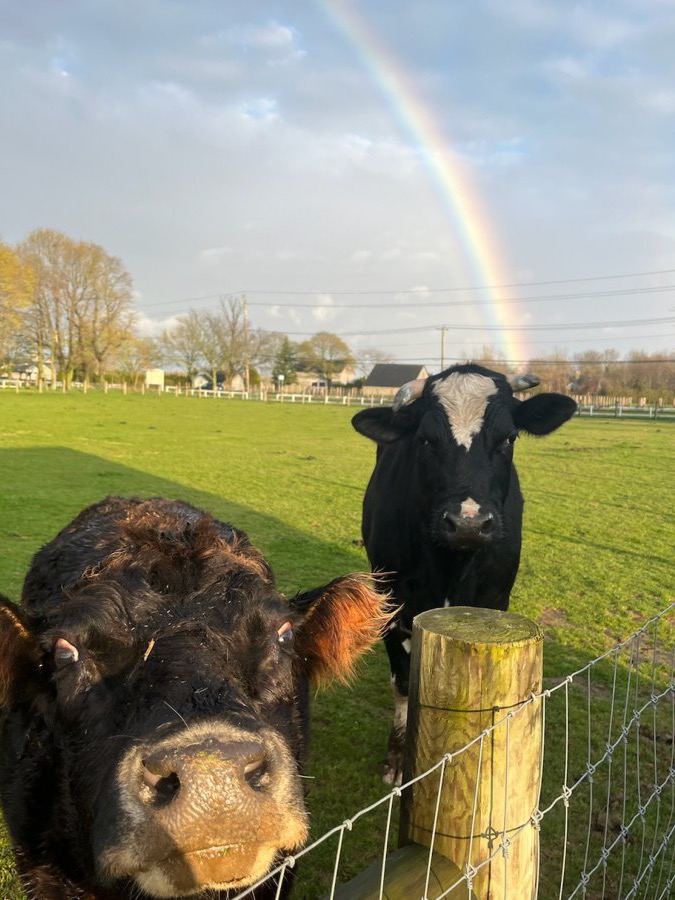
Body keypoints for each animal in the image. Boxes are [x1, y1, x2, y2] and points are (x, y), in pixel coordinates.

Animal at [351, 364, 577, 784]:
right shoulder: (391, 602)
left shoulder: (494, 602)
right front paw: (398, 758)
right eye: (425, 439)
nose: (468, 523)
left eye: (509, 437)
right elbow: (403, 682)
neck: (452, 567)